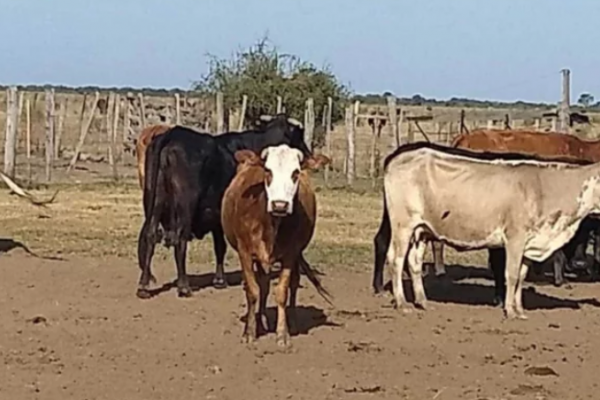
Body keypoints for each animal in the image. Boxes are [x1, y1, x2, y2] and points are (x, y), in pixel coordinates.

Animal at [136, 112, 312, 296]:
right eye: (299, 136)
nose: (308, 154)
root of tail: (172, 134)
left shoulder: (216, 216)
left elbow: (219, 246)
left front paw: (220, 279)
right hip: (185, 208)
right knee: (180, 240)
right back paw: (183, 285)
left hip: (154, 202)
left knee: (150, 235)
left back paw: (144, 284)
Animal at [221, 145, 330, 346]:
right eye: (267, 170)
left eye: (295, 172)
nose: (280, 205)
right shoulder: (244, 252)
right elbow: (253, 291)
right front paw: (249, 332)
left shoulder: (290, 254)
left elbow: (282, 292)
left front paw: (282, 334)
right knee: (263, 286)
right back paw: (261, 320)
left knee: (292, 284)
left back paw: (290, 322)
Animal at [382, 142, 600, 320]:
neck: (542, 188)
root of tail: (398, 157)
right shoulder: (515, 238)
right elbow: (511, 275)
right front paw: (510, 311)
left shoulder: (530, 243)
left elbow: (521, 276)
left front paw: (520, 310)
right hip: (403, 225)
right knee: (396, 259)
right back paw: (402, 303)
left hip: (422, 230)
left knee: (414, 262)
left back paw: (423, 302)